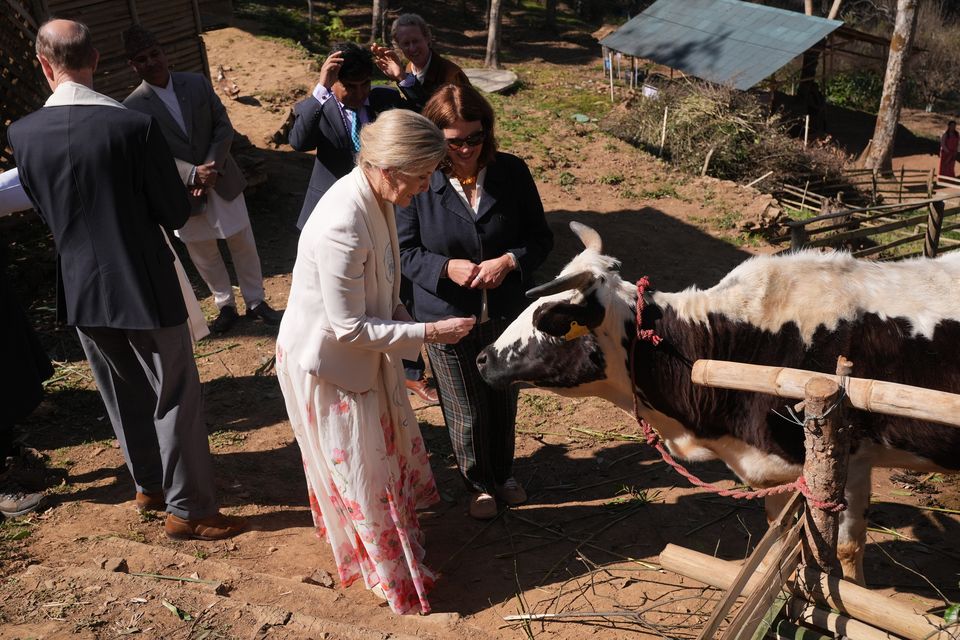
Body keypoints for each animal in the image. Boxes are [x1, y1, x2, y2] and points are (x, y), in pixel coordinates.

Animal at [478, 221, 960, 584]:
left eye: (548, 318)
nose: (482, 358)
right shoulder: (781, 469)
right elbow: (780, 538)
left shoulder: (849, 459)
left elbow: (843, 549)